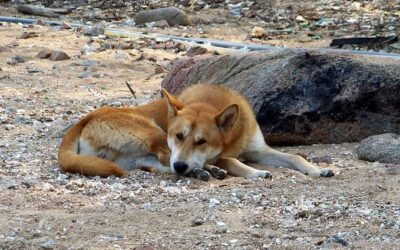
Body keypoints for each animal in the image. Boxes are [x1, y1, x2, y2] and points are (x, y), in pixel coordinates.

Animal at [57, 84, 334, 180]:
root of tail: (83, 120)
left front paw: (317, 169)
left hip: (140, 155)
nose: (182, 165)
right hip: (154, 133)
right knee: (165, 160)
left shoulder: (259, 150)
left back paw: (200, 171)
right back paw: (204, 171)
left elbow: (295, 157)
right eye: (179, 136)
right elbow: (233, 161)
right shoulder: (220, 155)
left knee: (159, 166)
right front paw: (255, 173)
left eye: (201, 141)